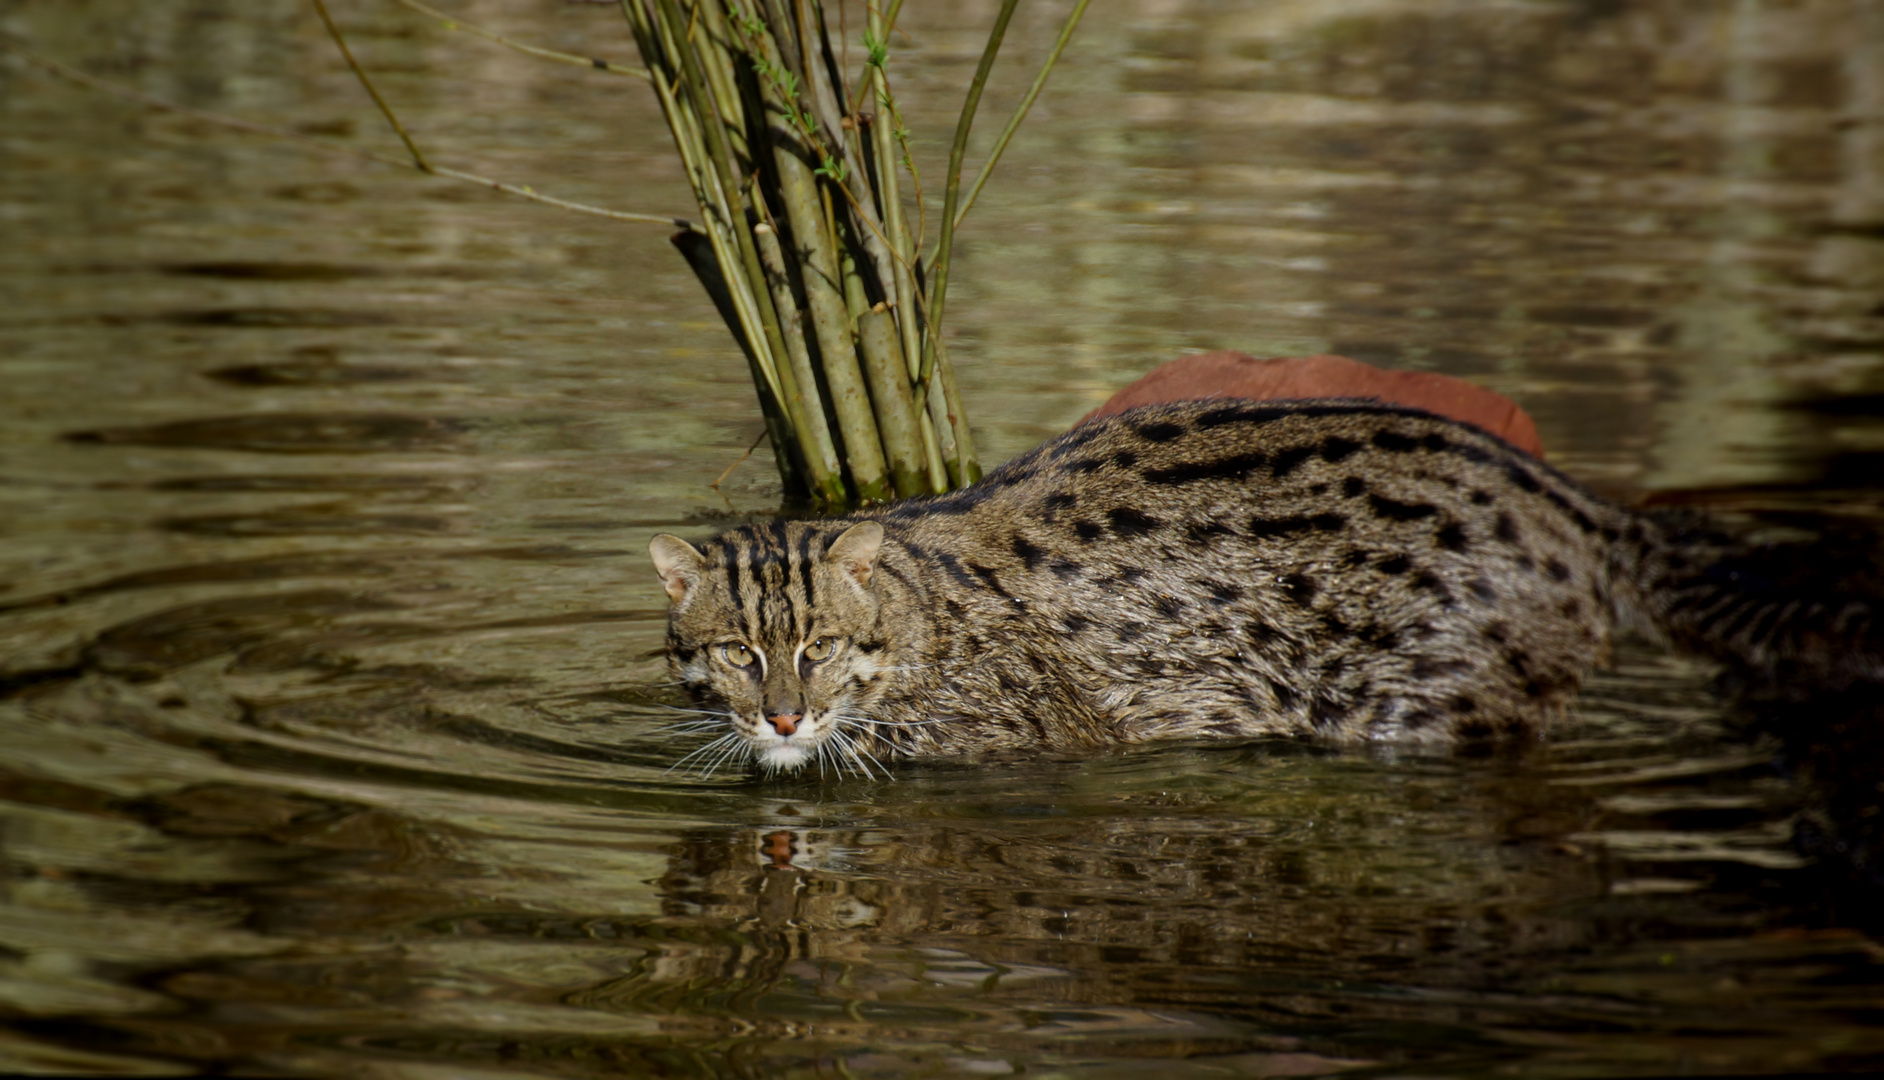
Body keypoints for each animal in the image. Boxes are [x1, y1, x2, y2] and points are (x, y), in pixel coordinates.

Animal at [644, 399, 1868, 769]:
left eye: (820, 646)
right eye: (737, 651)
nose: (783, 715)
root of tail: (1582, 505)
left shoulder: (1034, 726)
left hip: (1435, 690)